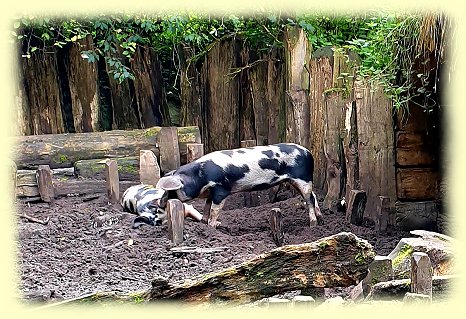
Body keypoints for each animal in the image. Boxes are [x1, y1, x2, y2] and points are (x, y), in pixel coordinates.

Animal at [156, 144, 320, 229]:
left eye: (170, 191)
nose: (160, 203)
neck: (200, 176)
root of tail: (308, 152)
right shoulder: (211, 191)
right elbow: (207, 207)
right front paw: (203, 222)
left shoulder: (221, 189)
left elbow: (215, 209)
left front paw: (211, 227)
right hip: (297, 181)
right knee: (313, 195)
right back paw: (320, 217)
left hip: (303, 178)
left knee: (309, 199)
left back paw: (313, 224)